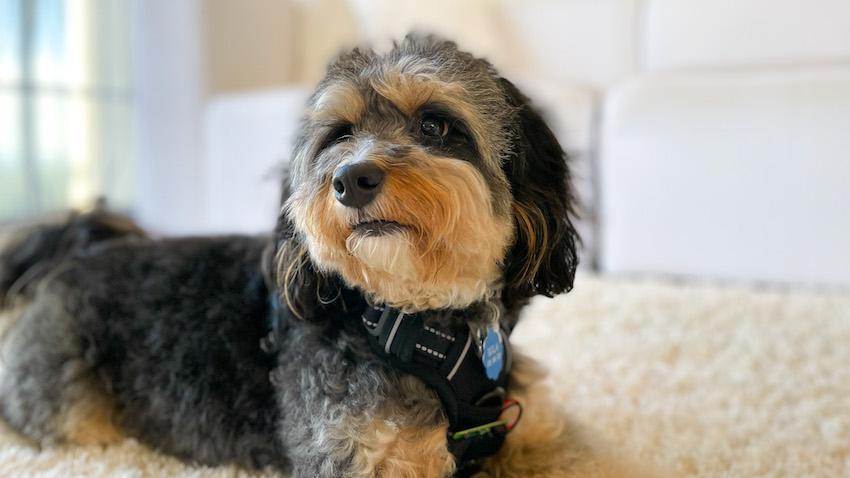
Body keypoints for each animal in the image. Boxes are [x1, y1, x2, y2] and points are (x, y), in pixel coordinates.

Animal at [0, 35, 636, 476]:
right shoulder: (359, 454)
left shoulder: (541, 435)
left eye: (435, 125)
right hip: (65, 406)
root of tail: (81, 251)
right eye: (340, 135)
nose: (350, 179)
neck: (417, 325)